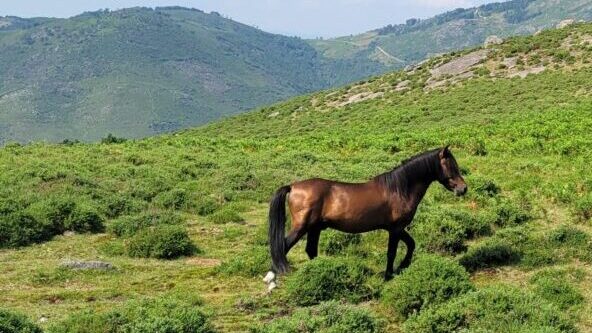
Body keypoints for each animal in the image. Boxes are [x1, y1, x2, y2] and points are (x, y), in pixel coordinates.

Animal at [268, 146, 468, 280]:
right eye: (451, 166)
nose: (463, 188)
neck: (400, 189)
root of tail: (293, 186)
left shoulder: (398, 228)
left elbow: (411, 244)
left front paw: (403, 266)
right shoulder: (395, 229)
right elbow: (392, 252)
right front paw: (388, 275)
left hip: (314, 228)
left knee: (310, 250)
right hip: (302, 227)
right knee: (283, 246)